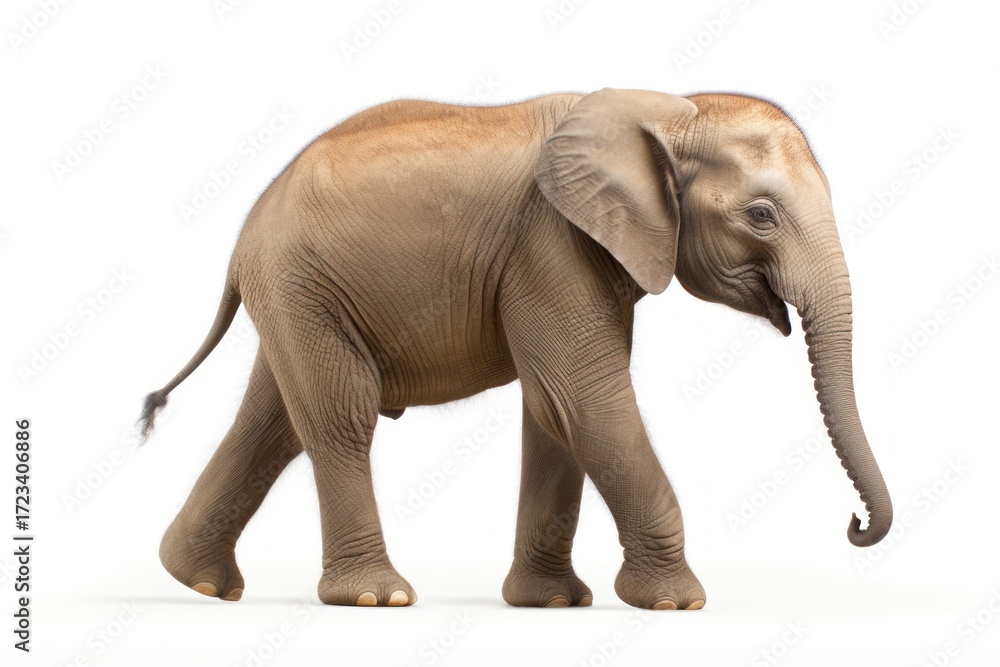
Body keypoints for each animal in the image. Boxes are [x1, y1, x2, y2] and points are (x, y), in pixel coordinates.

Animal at [141, 88, 892, 610]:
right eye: (761, 215)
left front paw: (554, 603)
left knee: (275, 420)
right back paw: (376, 597)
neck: (665, 111)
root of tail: (245, 233)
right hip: (300, 280)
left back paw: (198, 582)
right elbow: (583, 398)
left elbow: (554, 411)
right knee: (337, 415)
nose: (854, 522)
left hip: (299, 292)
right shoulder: (552, 241)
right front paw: (676, 603)